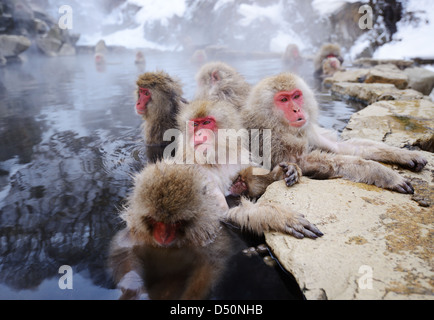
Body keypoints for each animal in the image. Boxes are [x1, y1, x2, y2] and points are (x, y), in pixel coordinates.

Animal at [241, 72, 428, 192]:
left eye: (296, 96)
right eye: (283, 99)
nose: (296, 110)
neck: (274, 122)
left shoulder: (307, 131)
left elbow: (340, 147)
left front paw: (405, 154)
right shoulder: (269, 139)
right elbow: (303, 162)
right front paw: (384, 174)